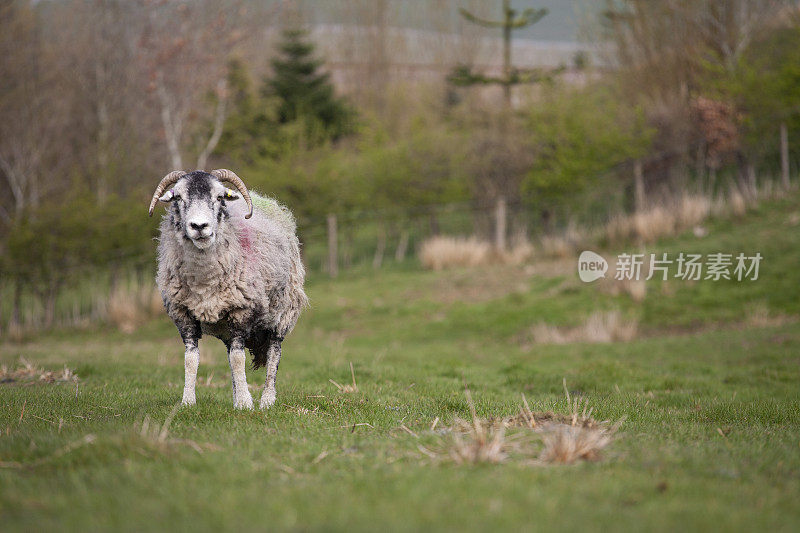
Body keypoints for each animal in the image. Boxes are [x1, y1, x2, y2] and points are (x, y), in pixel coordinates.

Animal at [147, 168, 306, 410]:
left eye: (220, 197)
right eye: (178, 197)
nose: (199, 227)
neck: (204, 281)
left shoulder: (242, 311)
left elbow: (239, 358)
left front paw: (245, 403)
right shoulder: (182, 314)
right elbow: (191, 360)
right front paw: (188, 402)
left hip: (283, 312)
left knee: (273, 353)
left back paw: (267, 400)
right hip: (225, 328)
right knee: (231, 353)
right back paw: (236, 395)